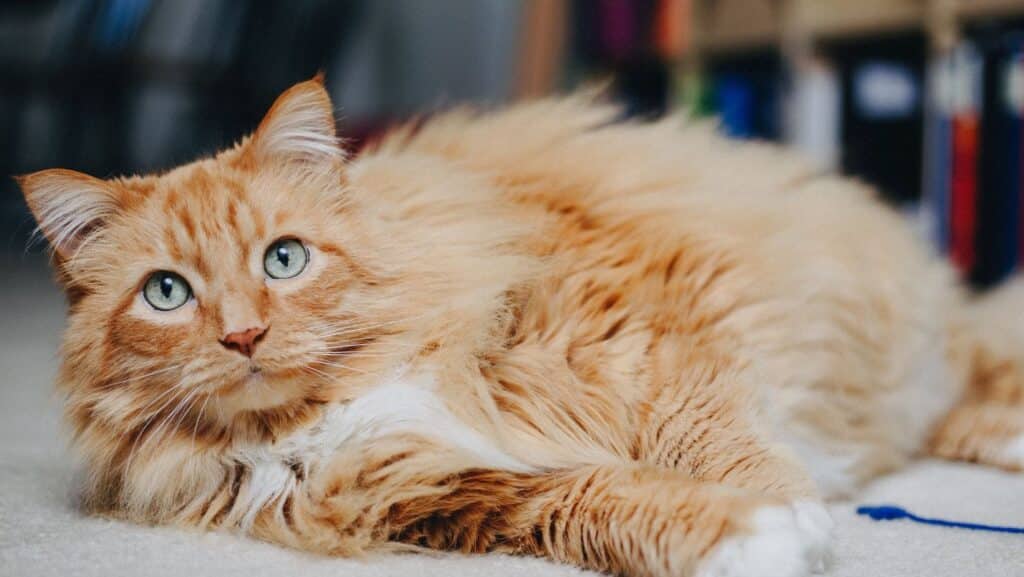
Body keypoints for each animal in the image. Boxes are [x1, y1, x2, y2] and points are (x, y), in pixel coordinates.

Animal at [16, 77, 1024, 577]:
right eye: (168, 292)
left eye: (284, 260)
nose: (242, 337)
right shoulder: (460, 491)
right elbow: (613, 506)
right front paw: (751, 535)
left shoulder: (655, 334)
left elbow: (723, 446)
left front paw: (797, 513)